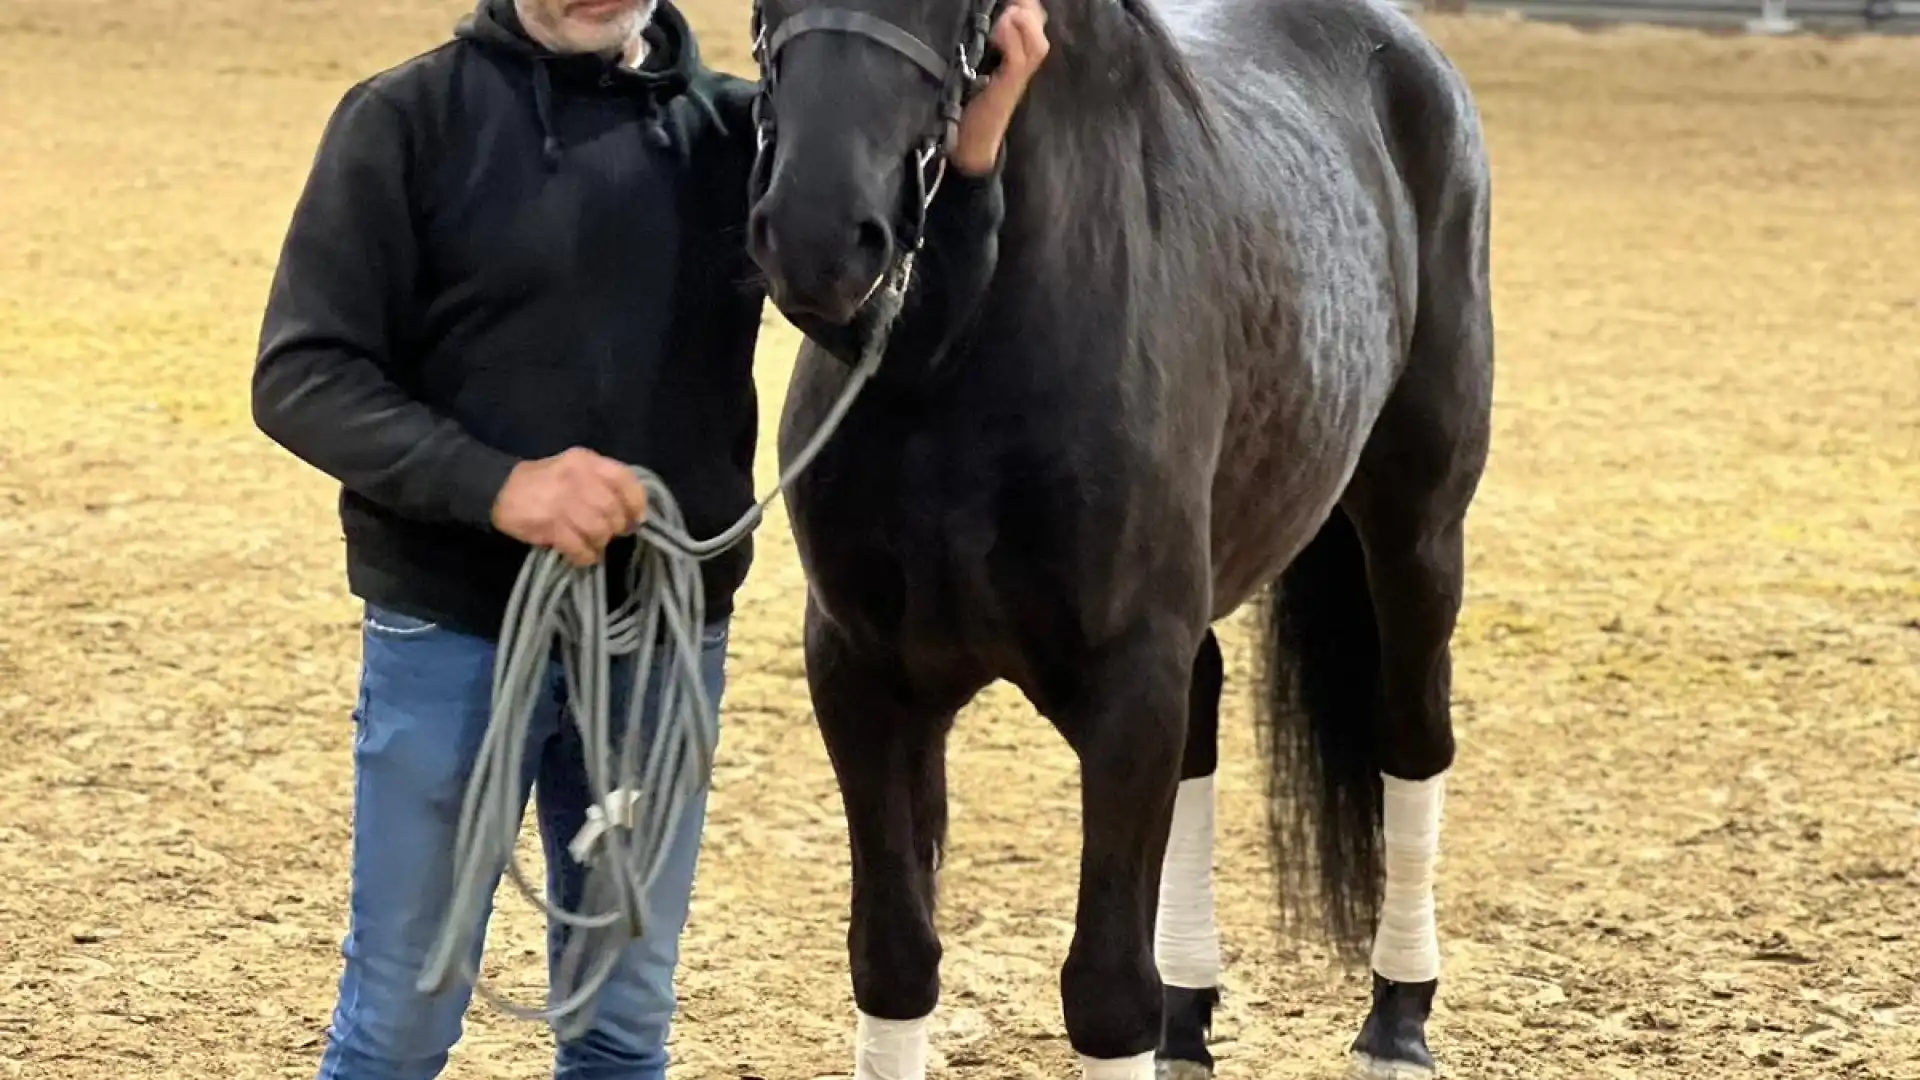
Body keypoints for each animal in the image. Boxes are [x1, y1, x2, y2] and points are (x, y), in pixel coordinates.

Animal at [741, 0, 1494, 1071]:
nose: (815, 237)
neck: (957, 348)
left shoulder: (1129, 683)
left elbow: (1104, 992)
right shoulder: (860, 673)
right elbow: (892, 959)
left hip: (1416, 532)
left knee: (1413, 732)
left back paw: (1397, 1017)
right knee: (1209, 719)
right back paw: (1194, 1010)